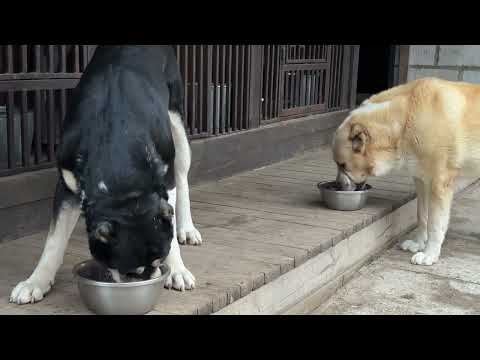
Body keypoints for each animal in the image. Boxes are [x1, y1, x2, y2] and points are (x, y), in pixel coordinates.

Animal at [10, 45, 202, 304]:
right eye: (129, 272)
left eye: (158, 262)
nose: (148, 280)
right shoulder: (67, 187)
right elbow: (53, 241)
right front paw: (36, 281)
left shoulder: (165, 173)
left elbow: (170, 222)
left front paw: (177, 269)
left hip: (177, 121)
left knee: (182, 176)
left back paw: (187, 228)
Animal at [334, 77, 480, 266]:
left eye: (343, 165)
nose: (337, 185)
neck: (405, 120)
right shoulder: (422, 183)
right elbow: (422, 216)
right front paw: (418, 244)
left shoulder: (439, 185)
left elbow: (435, 224)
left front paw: (430, 254)